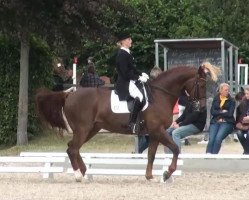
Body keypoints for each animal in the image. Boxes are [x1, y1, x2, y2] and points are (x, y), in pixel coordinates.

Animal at [35, 61, 220, 182]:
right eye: (201, 85)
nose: (202, 107)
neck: (160, 95)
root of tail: (69, 94)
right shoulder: (158, 131)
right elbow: (175, 149)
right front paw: (167, 173)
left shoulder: (154, 133)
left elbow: (151, 154)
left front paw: (149, 176)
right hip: (82, 129)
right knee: (72, 149)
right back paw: (79, 175)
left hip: (91, 129)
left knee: (73, 148)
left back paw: (84, 172)